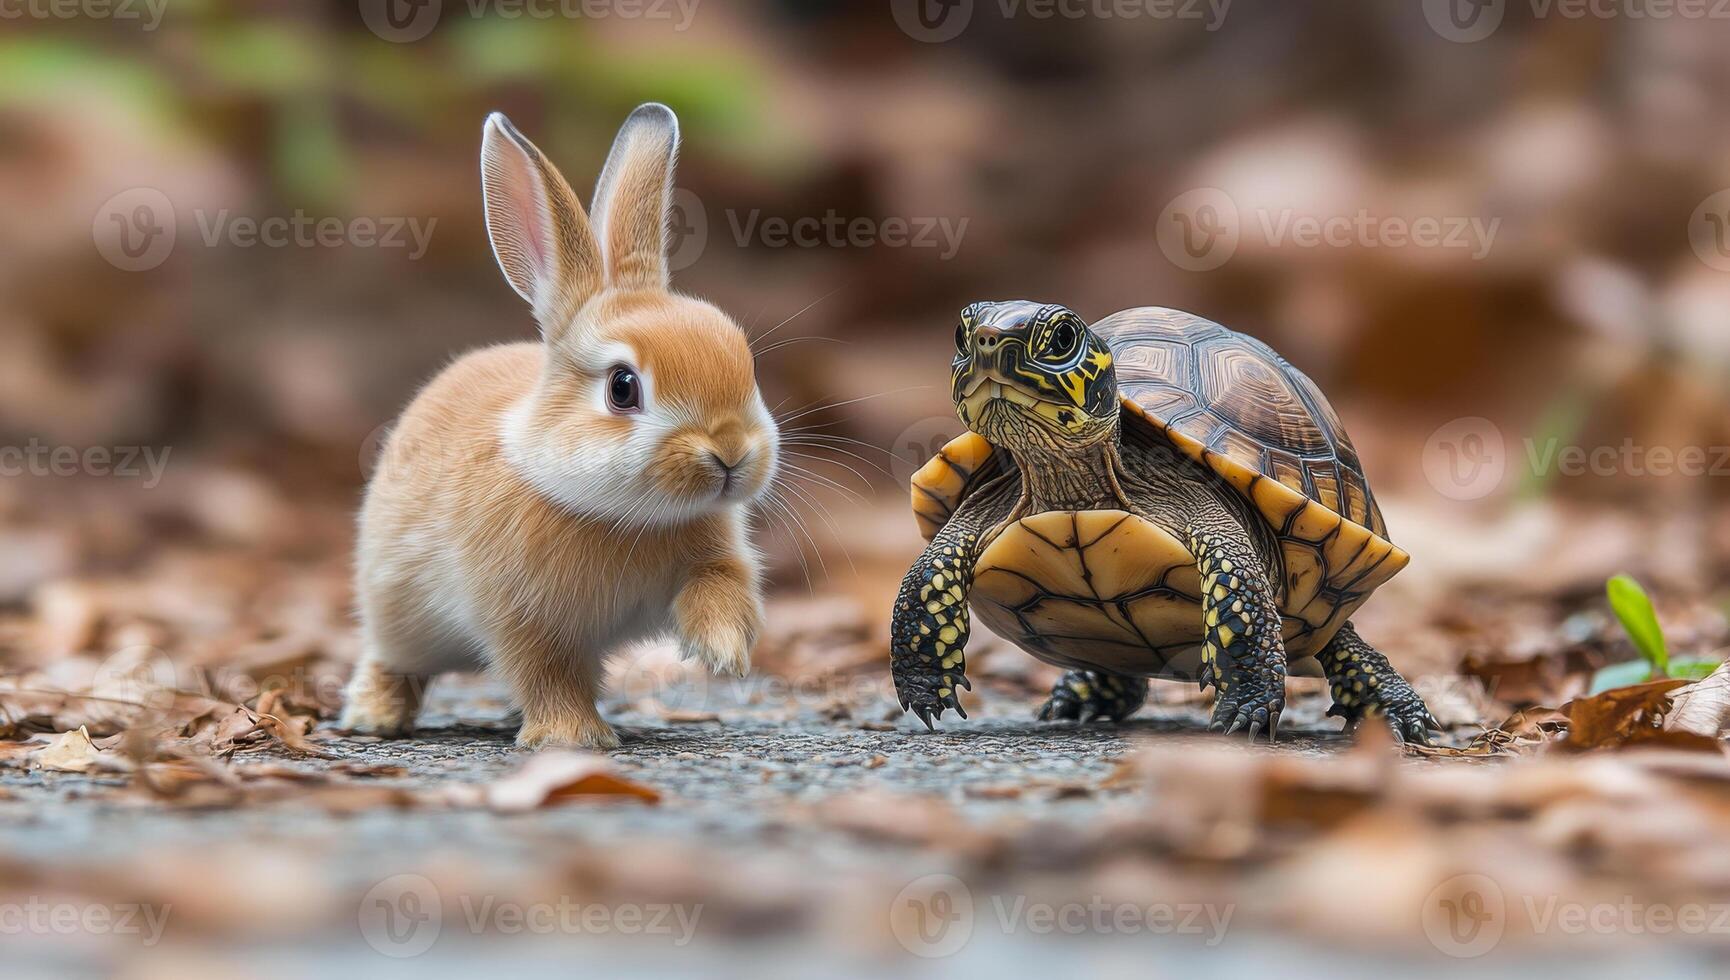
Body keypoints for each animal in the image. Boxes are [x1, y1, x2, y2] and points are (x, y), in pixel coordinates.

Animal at [339, 104, 778, 749]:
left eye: (745, 363)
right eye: (622, 387)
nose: (730, 453)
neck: (621, 517)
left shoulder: (713, 562)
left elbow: (719, 588)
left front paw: (722, 655)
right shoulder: (524, 619)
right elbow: (546, 672)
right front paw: (573, 738)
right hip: (401, 614)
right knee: (393, 656)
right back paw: (374, 716)